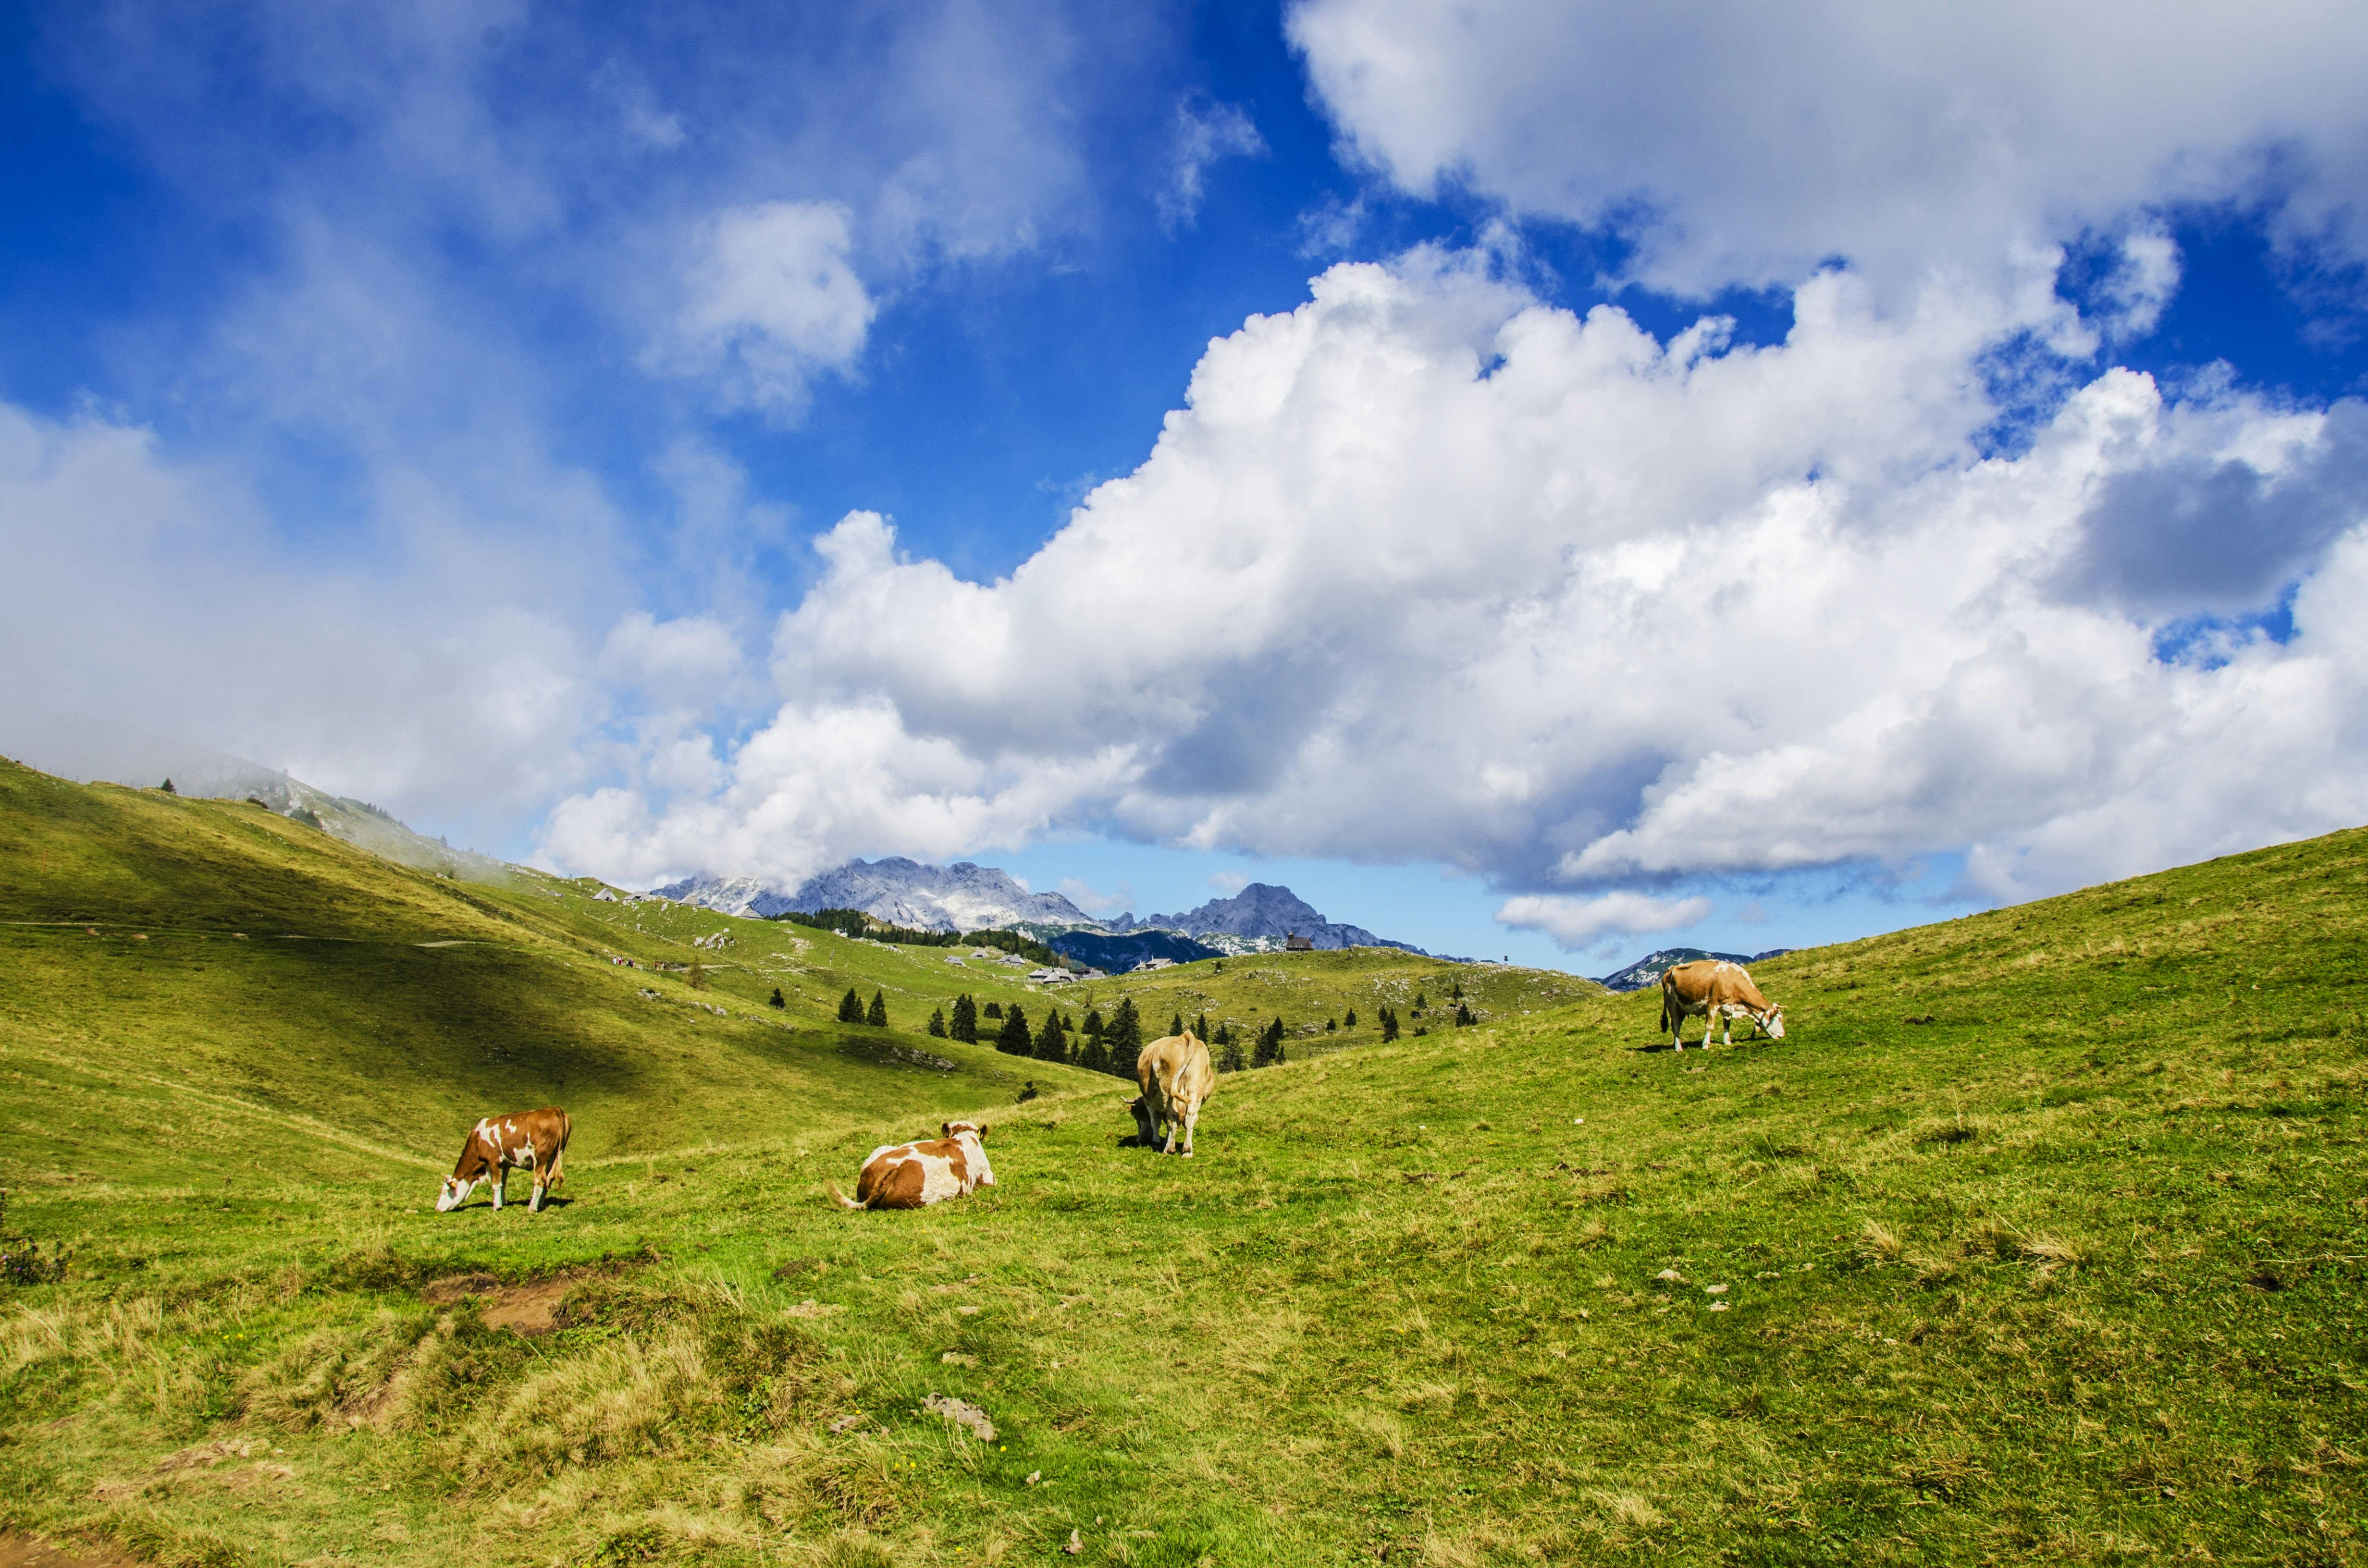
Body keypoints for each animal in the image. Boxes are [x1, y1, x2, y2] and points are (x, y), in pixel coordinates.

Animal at [435, 1103, 568, 1213]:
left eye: (445, 1191)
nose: (437, 1209)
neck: (478, 1139)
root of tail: (555, 1110)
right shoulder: (506, 1164)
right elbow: (503, 1183)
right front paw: (503, 1202)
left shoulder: (494, 1161)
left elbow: (496, 1184)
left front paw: (497, 1206)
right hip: (555, 1156)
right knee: (549, 1179)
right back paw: (540, 1205)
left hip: (540, 1158)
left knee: (540, 1180)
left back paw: (532, 1208)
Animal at [1127, 1032, 1212, 1156]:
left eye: (1137, 1117)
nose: (1139, 1140)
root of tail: (1186, 1036)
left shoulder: (1149, 1102)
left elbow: (1155, 1121)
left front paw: (1157, 1143)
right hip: (1196, 1088)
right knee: (1190, 1118)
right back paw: (1187, 1151)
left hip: (1167, 1091)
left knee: (1172, 1117)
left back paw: (1169, 1149)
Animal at [1657, 956, 1780, 1056]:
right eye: (1779, 1019)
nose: (1782, 1035)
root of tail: (1670, 970)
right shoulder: (1712, 1004)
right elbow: (1710, 1026)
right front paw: (1705, 1045)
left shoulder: (1728, 1007)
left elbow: (1727, 1024)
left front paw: (1728, 1042)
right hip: (1672, 1003)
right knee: (1675, 1025)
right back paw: (1678, 1048)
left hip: (1682, 1007)